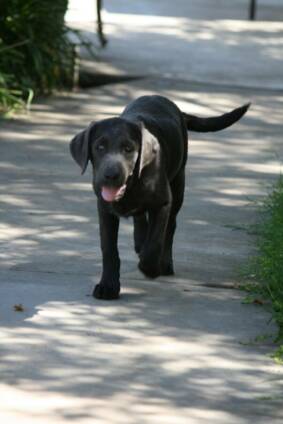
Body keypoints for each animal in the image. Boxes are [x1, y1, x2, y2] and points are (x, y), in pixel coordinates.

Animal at [71, 94, 251, 300]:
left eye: (128, 149)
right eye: (99, 147)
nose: (111, 175)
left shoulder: (163, 203)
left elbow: (156, 240)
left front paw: (150, 268)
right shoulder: (105, 209)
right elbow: (109, 249)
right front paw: (108, 286)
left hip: (178, 185)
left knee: (170, 227)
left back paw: (164, 264)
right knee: (141, 218)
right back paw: (140, 240)